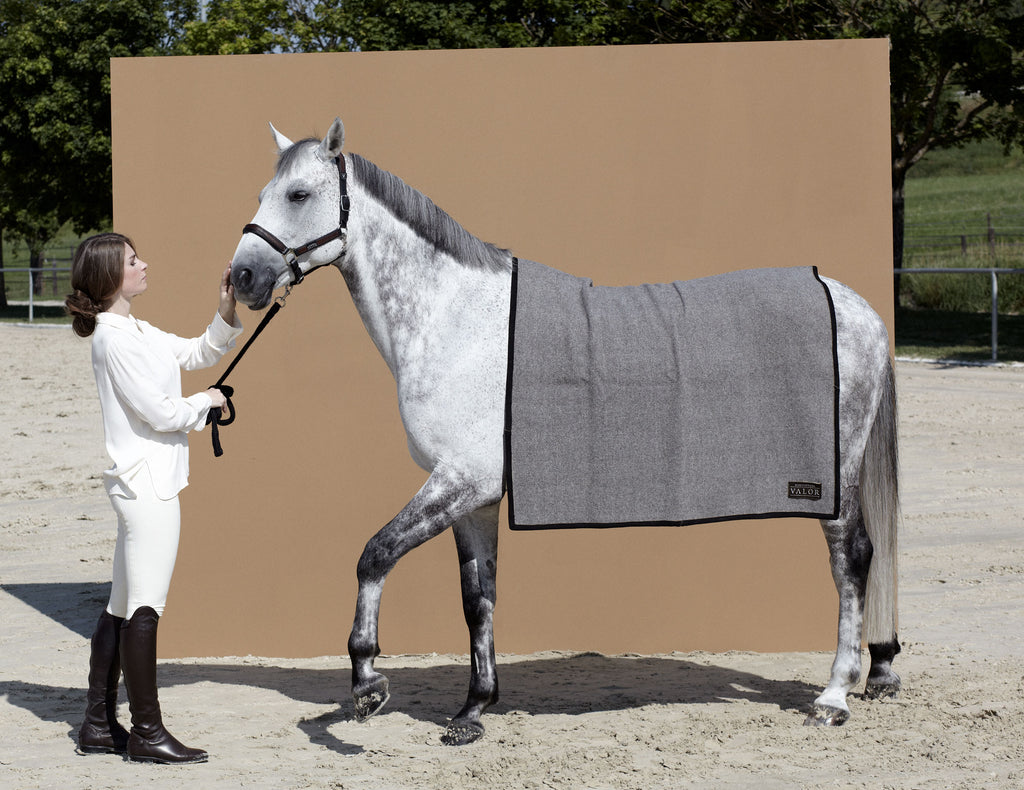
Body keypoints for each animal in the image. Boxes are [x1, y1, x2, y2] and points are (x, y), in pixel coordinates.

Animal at [229, 118, 901, 746]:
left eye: (297, 193)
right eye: (264, 191)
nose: (242, 278)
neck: (457, 321)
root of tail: (855, 305)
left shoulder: (460, 480)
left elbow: (376, 553)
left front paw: (368, 683)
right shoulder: (474, 497)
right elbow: (477, 597)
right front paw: (472, 711)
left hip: (831, 481)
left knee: (851, 560)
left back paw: (833, 698)